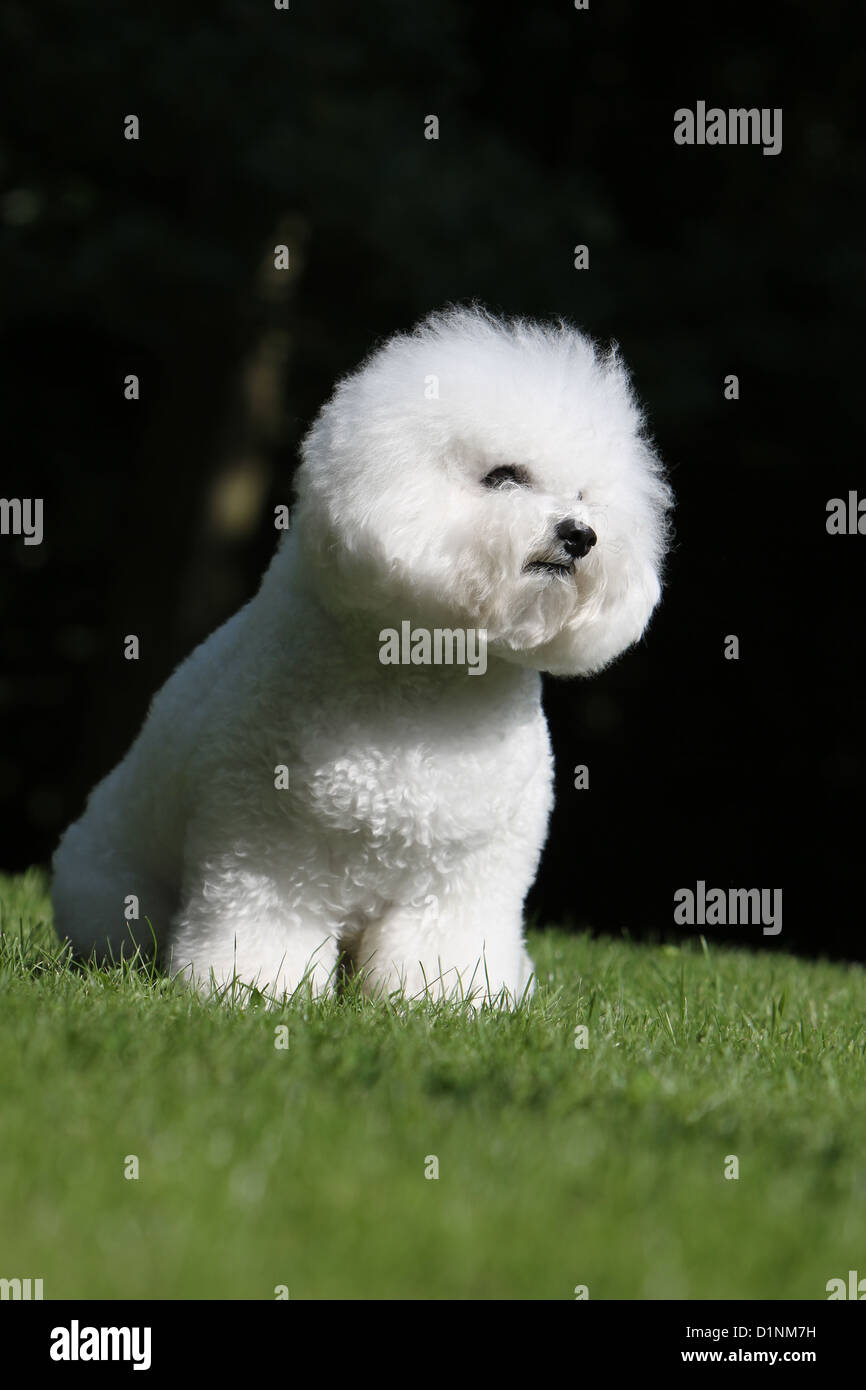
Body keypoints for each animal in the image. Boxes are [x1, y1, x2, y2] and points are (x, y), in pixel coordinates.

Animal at [50, 307, 675, 1000]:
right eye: (504, 477)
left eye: (586, 496)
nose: (581, 535)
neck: (427, 679)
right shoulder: (264, 850)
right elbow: (265, 925)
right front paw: (253, 991)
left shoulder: (464, 876)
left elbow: (446, 944)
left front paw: (447, 1002)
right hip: (113, 891)